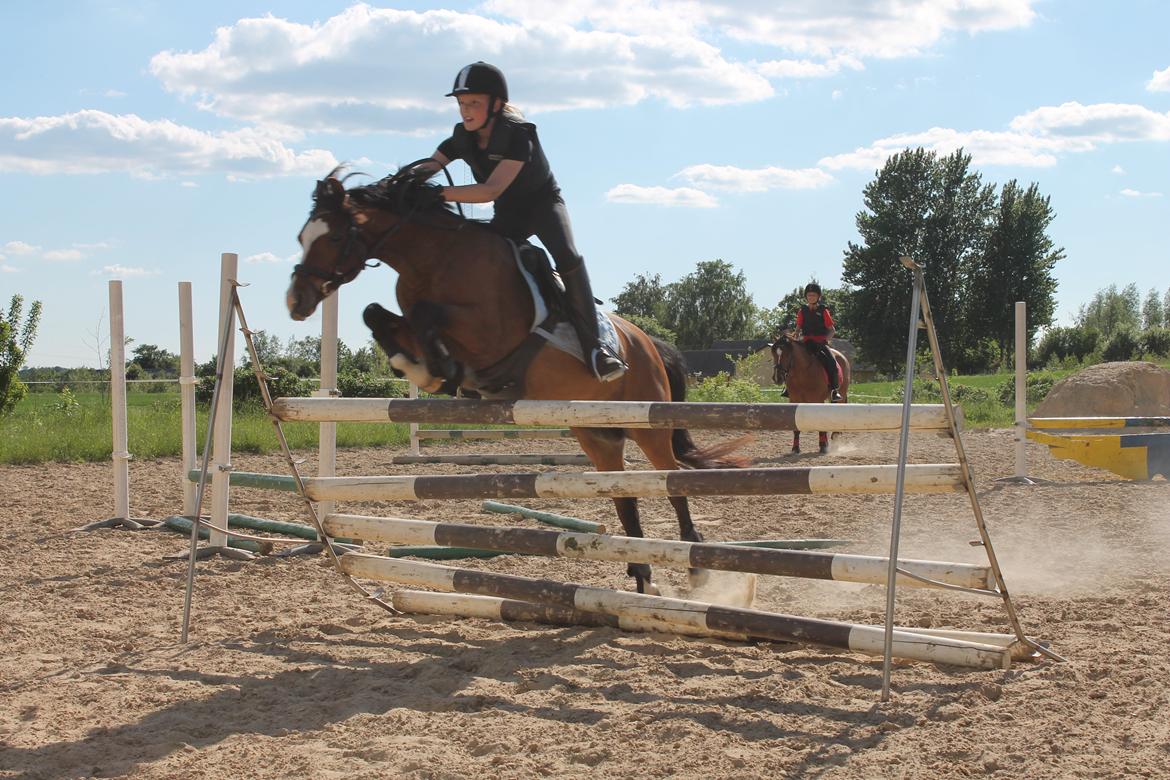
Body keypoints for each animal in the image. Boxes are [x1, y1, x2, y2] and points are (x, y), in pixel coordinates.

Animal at [284, 166, 744, 591]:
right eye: (302, 237)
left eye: (334, 238)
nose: (296, 301)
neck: (435, 259)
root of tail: (648, 342)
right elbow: (377, 313)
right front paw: (427, 370)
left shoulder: (490, 332)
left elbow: (428, 315)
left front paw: (441, 372)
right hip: (597, 434)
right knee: (625, 496)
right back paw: (644, 579)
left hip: (647, 423)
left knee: (672, 483)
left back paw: (697, 565)